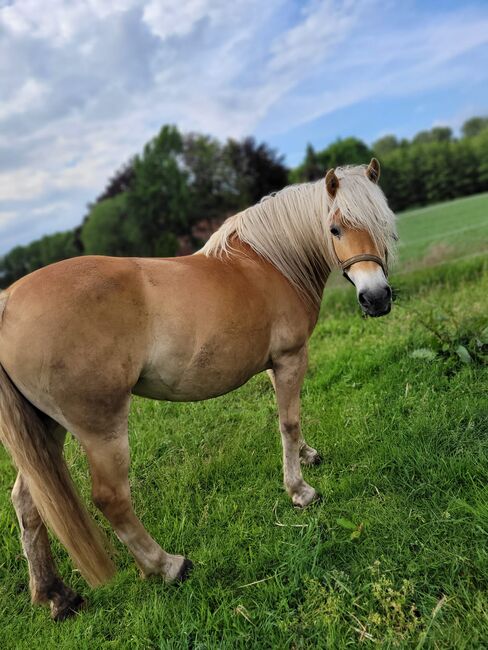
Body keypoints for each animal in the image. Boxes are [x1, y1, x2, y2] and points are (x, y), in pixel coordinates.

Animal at [0, 157, 396, 616]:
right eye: (334, 229)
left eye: (382, 220)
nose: (376, 298)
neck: (271, 262)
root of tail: (8, 301)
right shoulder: (291, 358)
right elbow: (289, 422)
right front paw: (299, 491)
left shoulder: (274, 364)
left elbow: (288, 419)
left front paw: (307, 455)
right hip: (100, 428)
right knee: (110, 497)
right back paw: (168, 565)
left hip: (46, 429)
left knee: (28, 502)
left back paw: (56, 594)